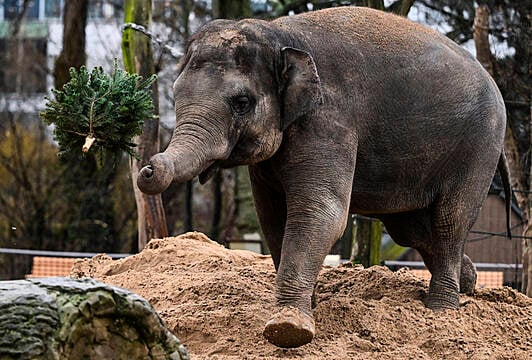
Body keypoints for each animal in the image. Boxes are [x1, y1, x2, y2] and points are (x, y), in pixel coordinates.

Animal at [137, 6, 512, 348]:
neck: (278, 35)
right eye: (176, 92)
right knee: (410, 228)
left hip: (479, 146)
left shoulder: (329, 119)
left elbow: (319, 213)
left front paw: (288, 329)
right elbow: (272, 217)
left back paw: (441, 309)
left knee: (450, 221)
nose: (147, 169)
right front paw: (306, 307)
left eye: (241, 102)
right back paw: (470, 283)